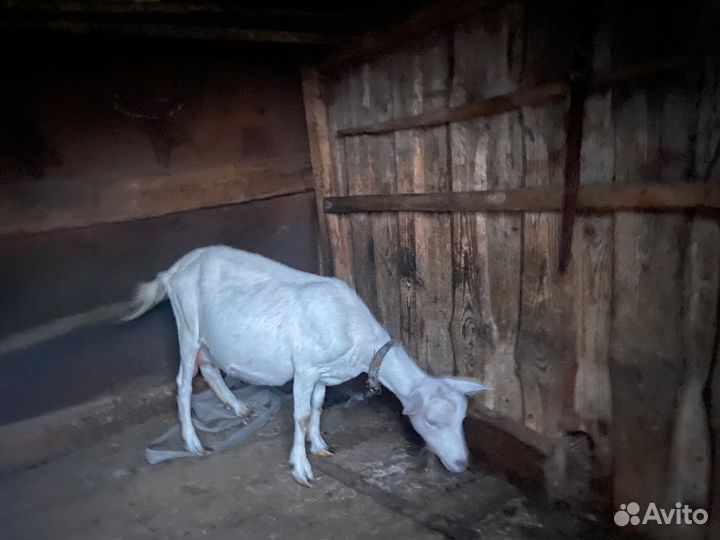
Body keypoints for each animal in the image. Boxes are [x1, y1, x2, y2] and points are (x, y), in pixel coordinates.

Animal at [124, 246, 489, 485]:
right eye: (431, 421)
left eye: (463, 418)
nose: (461, 463)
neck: (356, 334)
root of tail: (176, 270)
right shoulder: (305, 368)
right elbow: (299, 416)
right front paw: (301, 467)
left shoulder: (324, 373)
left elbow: (317, 407)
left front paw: (320, 445)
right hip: (187, 325)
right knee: (184, 383)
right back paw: (192, 441)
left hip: (210, 338)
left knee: (211, 369)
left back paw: (239, 408)